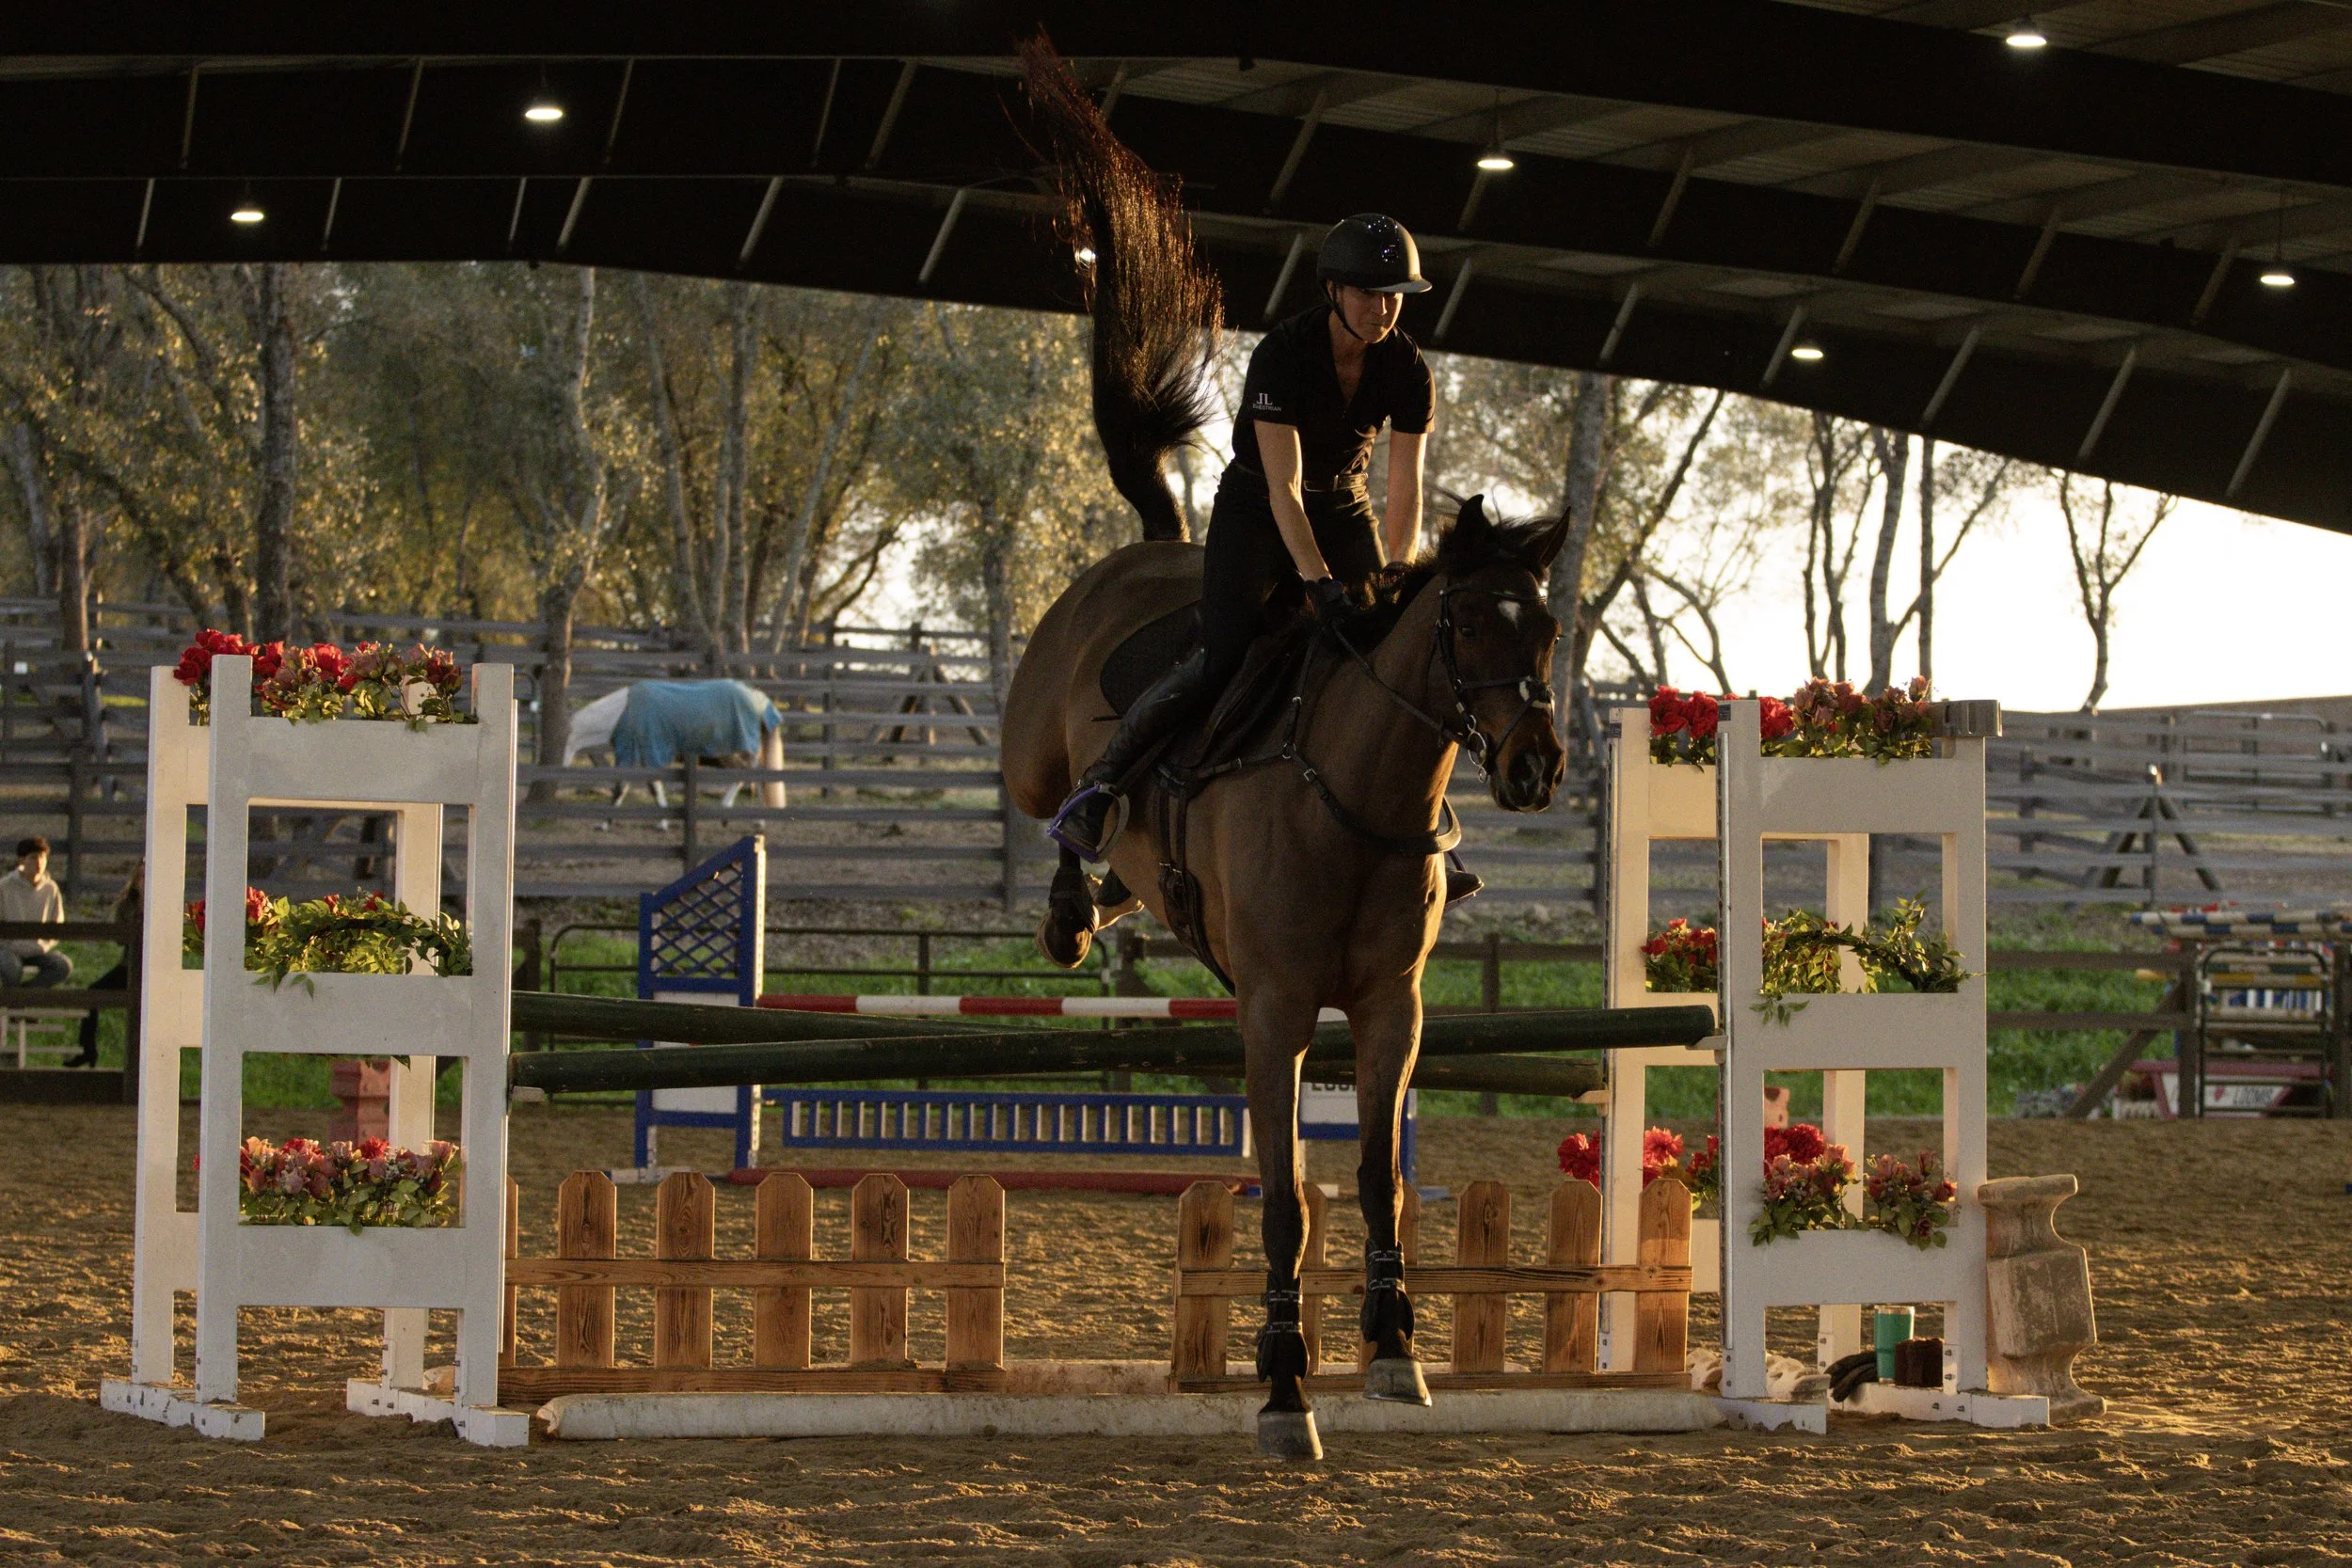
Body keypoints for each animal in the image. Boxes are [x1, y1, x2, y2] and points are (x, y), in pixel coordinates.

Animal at [1000, 499, 1570, 1456]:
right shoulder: (1275, 1017)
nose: (1535, 766)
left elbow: (1380, 1180)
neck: (1356, 794)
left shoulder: (1391, 1010)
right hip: (1036, 757)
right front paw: (1281, 1386)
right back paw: (1069, 903)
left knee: (1118, 863)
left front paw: (1394, 1348)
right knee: (1056, 804)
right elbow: (1284, 1207)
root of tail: (1146, 549)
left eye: (1550, 631)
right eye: (1465, 624)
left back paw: (1107, 894)